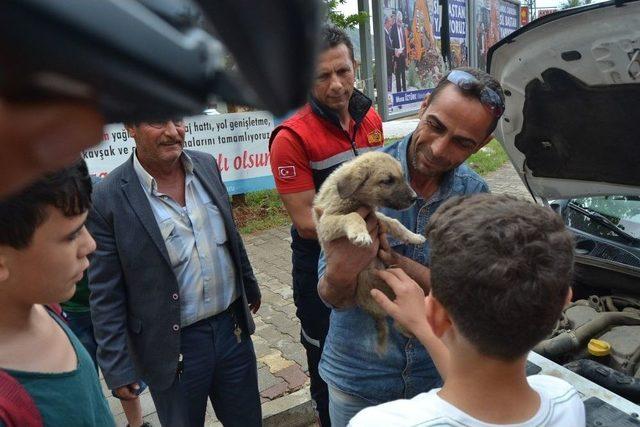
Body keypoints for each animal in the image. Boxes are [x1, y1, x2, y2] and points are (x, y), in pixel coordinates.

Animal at [314, 152, 428, 352]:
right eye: (387, 181)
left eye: (403, 177)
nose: (415, 197)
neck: (355, 198)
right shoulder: (325, 224)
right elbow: (353, 216)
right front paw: (360, 234)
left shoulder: (376, 217)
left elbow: (394, 222)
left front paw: (414, 237)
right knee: (400, 321)